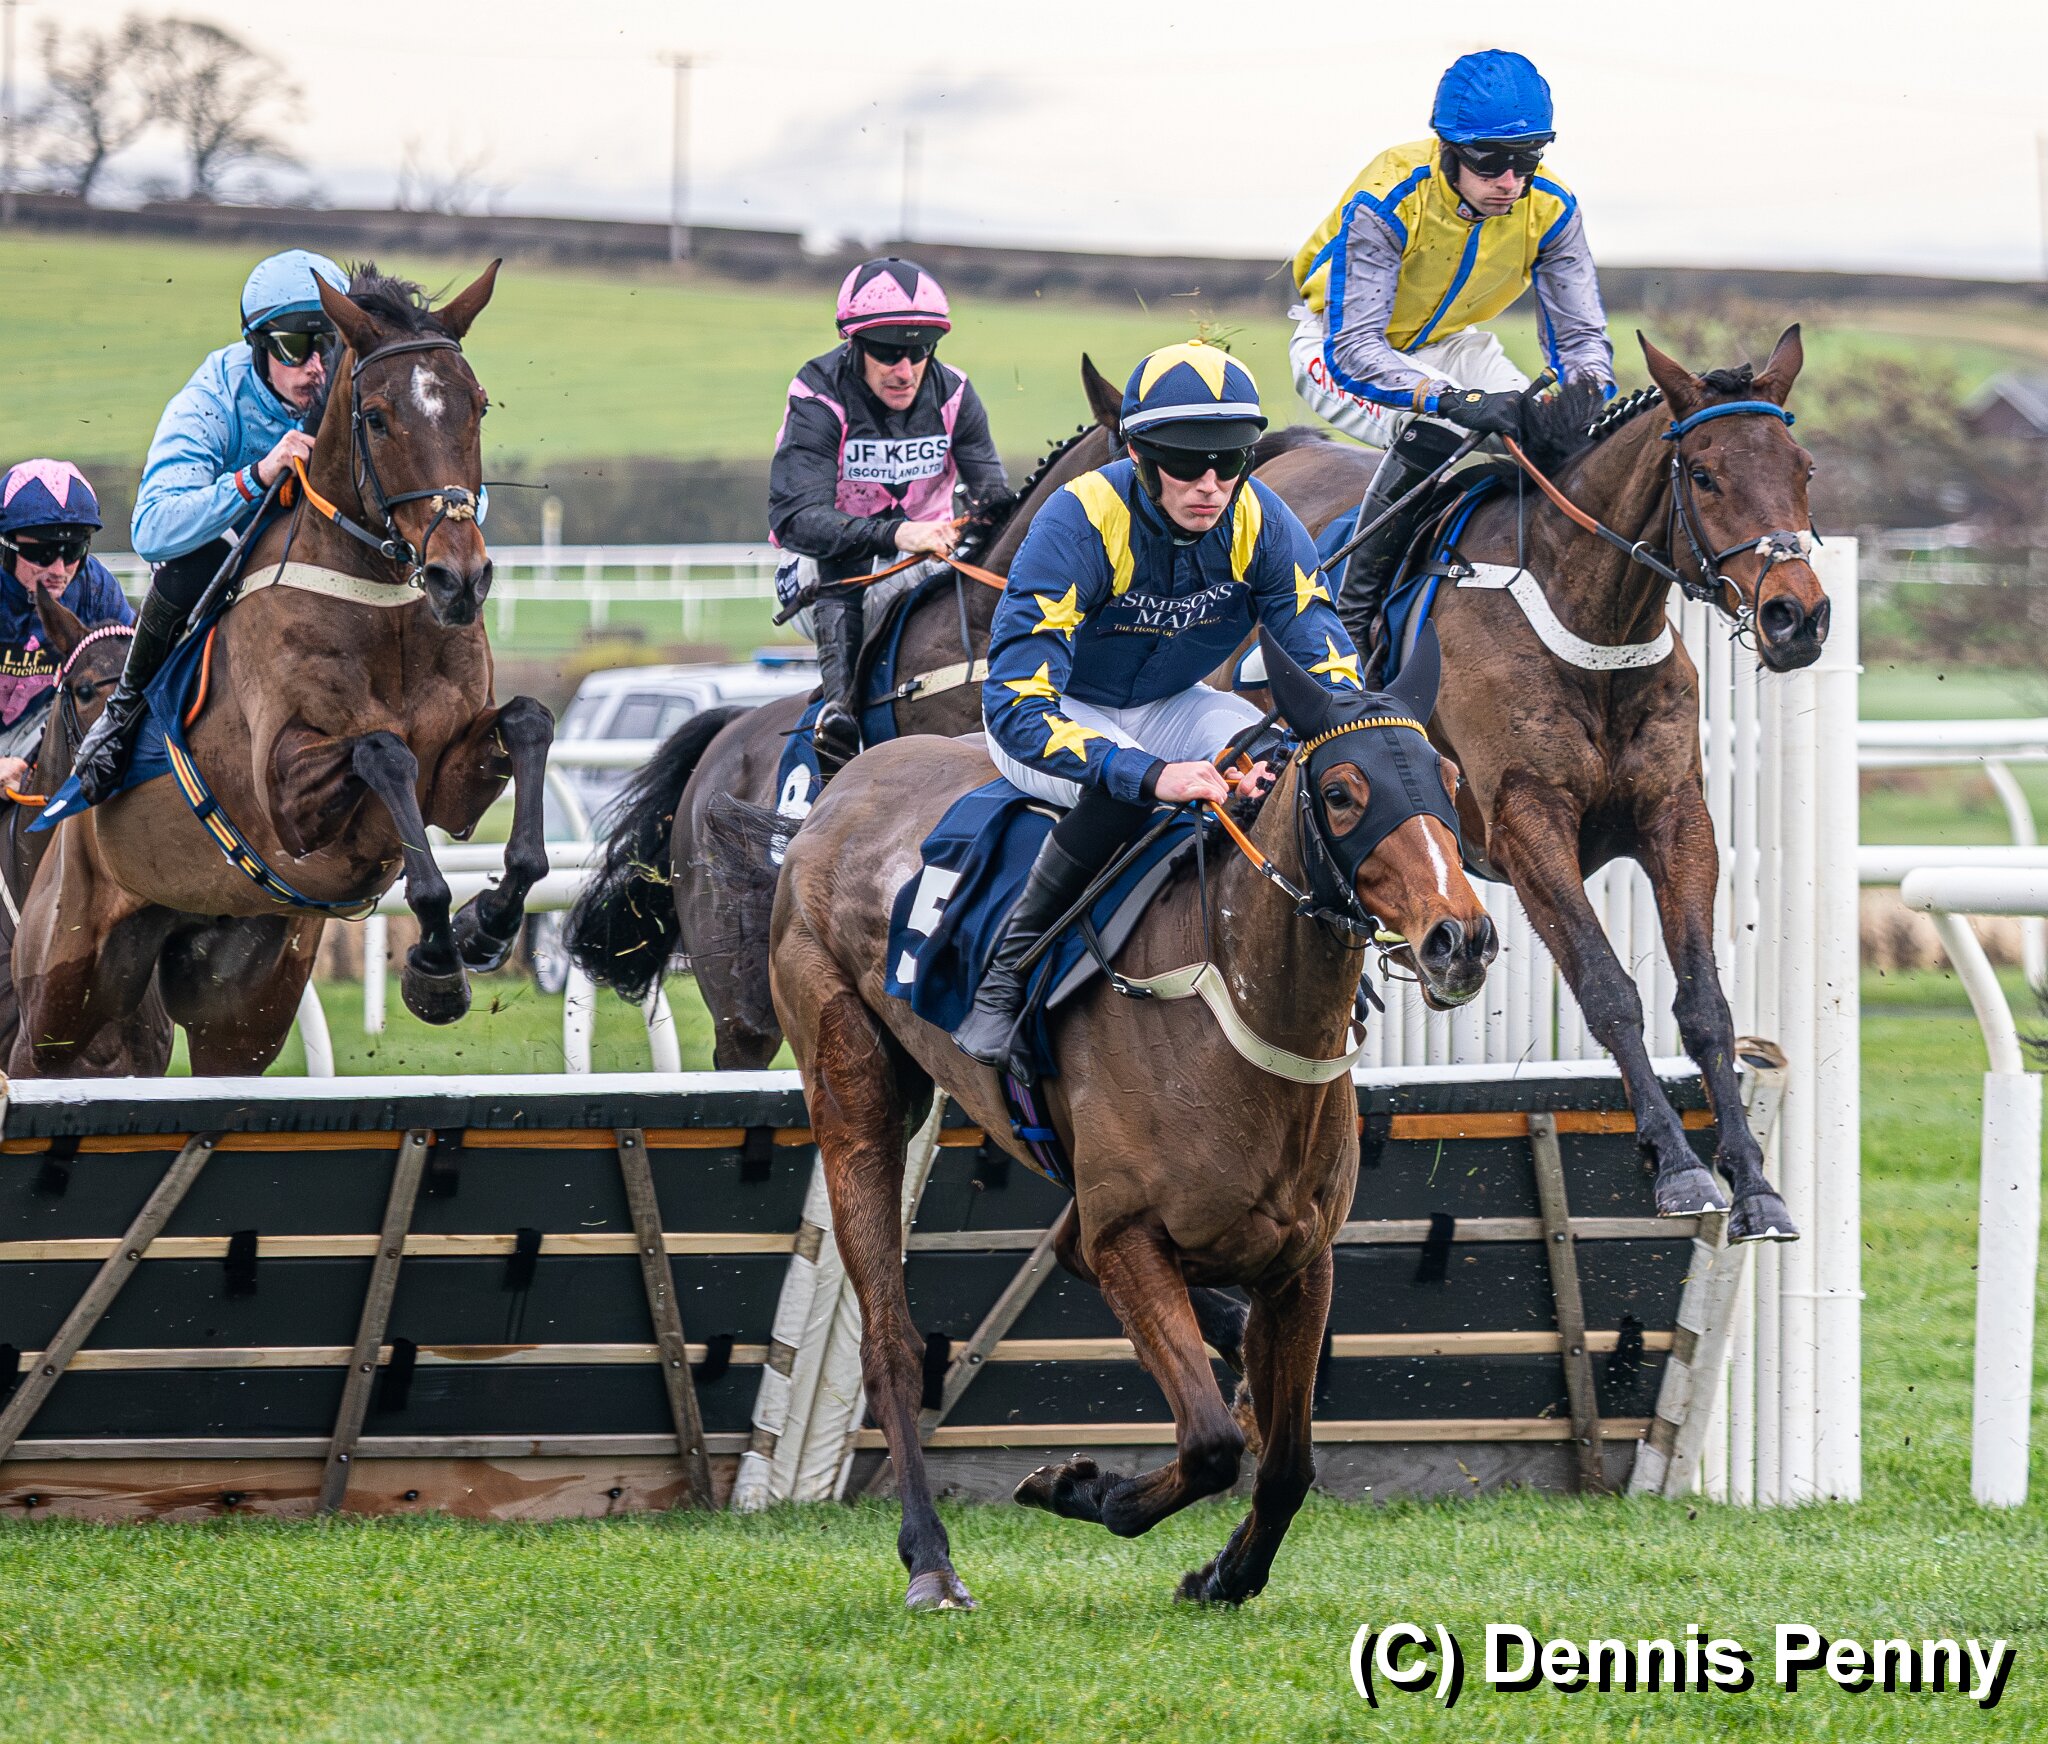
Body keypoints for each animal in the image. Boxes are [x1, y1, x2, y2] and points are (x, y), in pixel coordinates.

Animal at [751, 625, 1495, 1610]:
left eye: (1446, 776)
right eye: (1342, 793)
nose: (1462, 939)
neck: (1229, 1008)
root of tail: (841, 788)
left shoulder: (1301, 1261)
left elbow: (1286, 1463)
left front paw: (1224, 1571)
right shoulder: (1130, 1241)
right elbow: (1212, 1445)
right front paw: (1080, 1488)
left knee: (1093, 1267)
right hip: (856, 1098)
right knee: (889, 1342)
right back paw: (932, 1562)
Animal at [1250, 327, 1823, 1242]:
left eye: (1803, 468)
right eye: (1704, 474)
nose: (1797, 616)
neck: (1593, 624)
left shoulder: (1677, 816)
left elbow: (1705, 1003)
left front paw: (1755, 1184)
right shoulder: (1527, 824)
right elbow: (1606, 987)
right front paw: (1680, 1167)